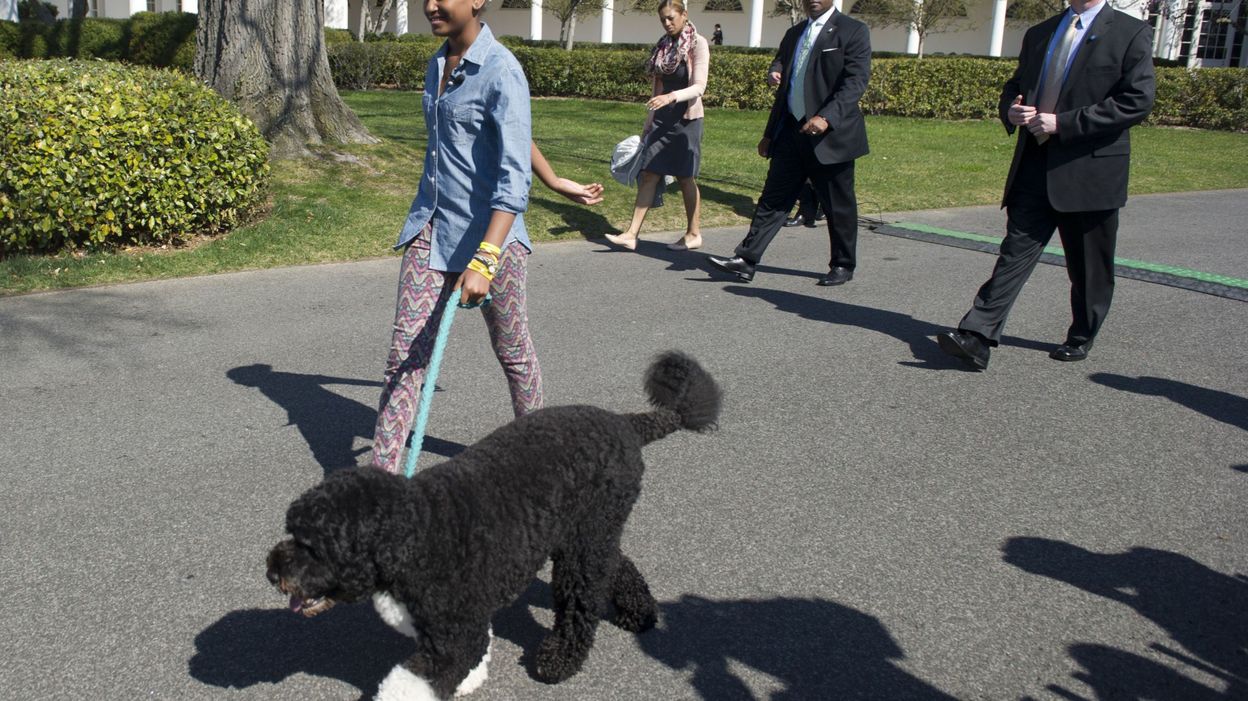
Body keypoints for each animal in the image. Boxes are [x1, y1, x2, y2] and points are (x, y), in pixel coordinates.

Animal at [268, 351, 728, 693]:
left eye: (313, 546)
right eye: (292, 530)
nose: (272, 572)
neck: (415, 533)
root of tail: (624, 421)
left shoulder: (451, 638)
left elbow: (412, 683)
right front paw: (473, 680)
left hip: (584, 542)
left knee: (581, 601)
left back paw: (559, 659)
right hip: (586, 530)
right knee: (617, 565)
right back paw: (641, 613)